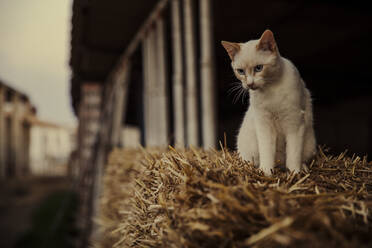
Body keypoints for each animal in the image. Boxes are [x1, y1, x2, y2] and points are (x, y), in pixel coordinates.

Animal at [222, 30, 316, 175]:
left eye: (259, 68)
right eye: (241, 71)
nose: (249, 84)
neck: (271, 89)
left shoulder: (294, 124)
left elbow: (293, 154)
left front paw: (294, 173)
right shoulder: (264, 126)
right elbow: (266, 152)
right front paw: (266, 172)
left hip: (309, 144)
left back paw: (302, 168)